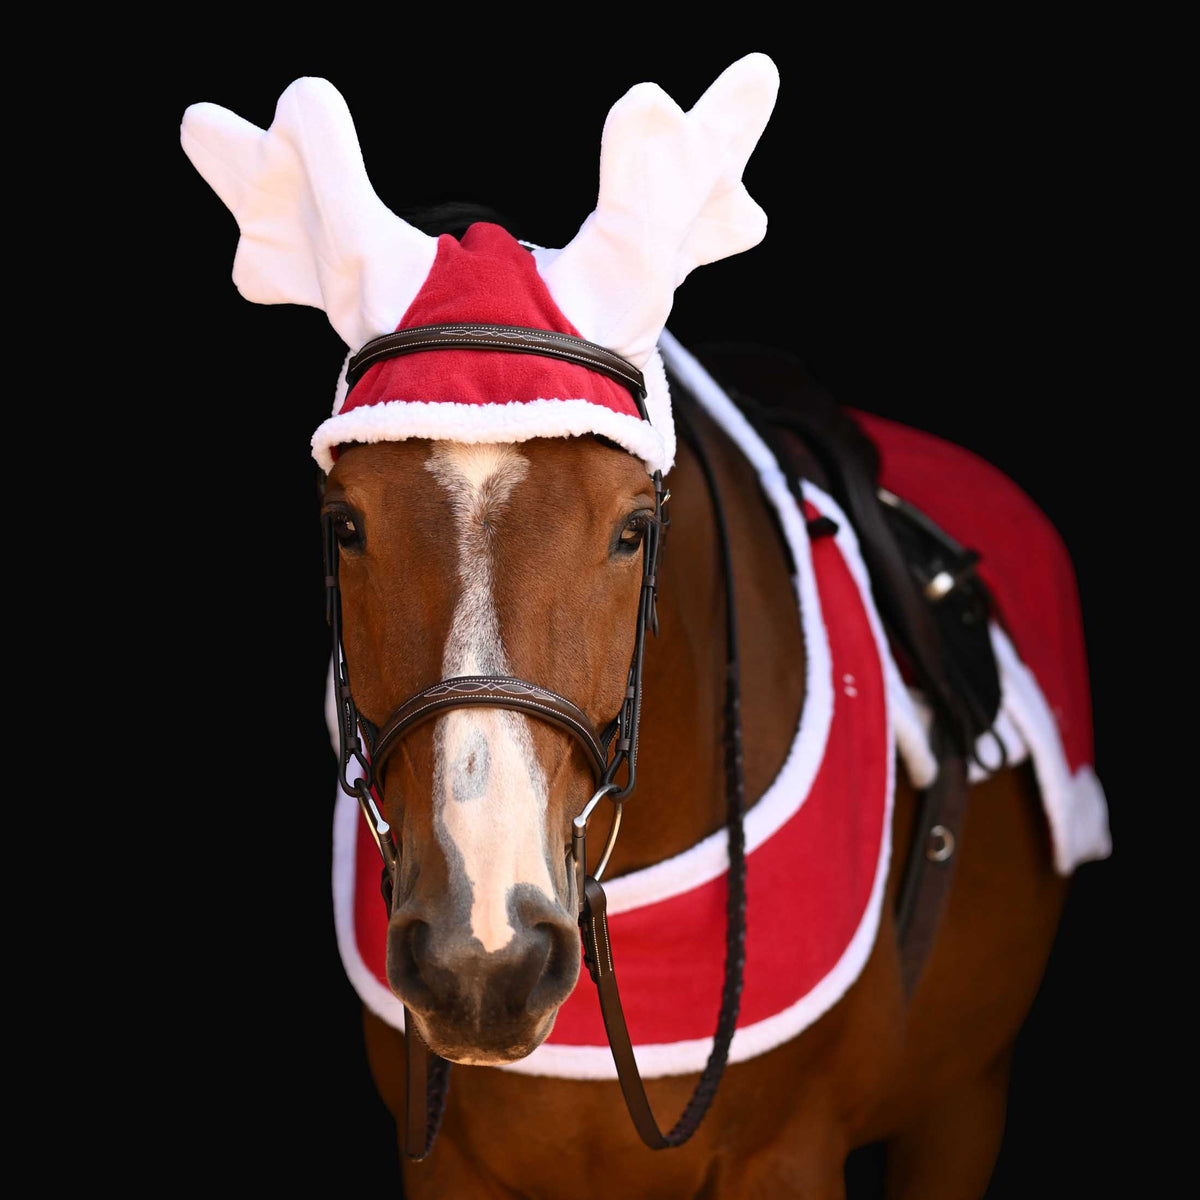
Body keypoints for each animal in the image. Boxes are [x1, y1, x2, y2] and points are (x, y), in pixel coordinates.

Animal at [180, 57, 1110, 1198]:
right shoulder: (448, 1167)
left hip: (964, 1097)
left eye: (632, 529)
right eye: (345, 522)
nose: (482, 954)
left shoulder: (790, 1157)